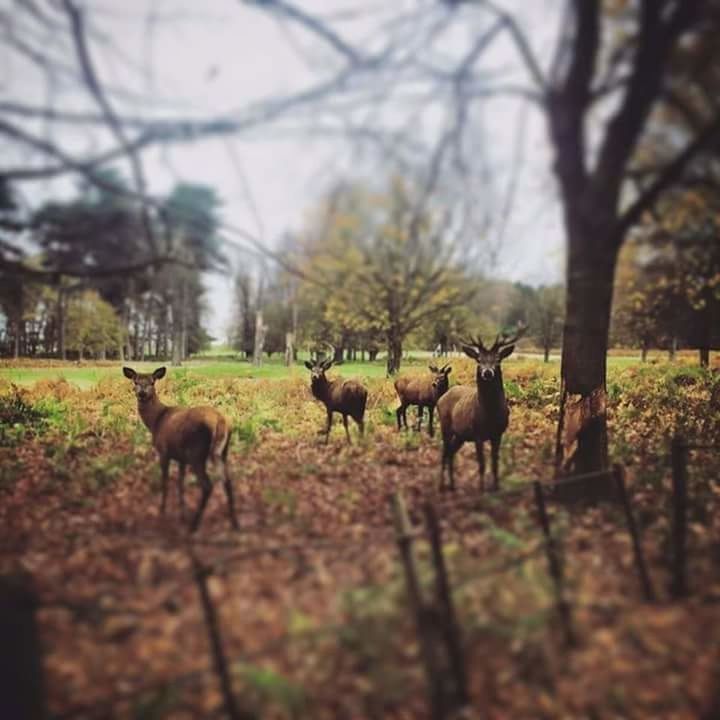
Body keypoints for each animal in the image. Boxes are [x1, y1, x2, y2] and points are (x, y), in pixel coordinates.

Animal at [122, 368, 238, 532]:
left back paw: (194, 526)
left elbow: (165, 482)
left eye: (152, 382)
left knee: (207, 485)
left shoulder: (163, 451)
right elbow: (180, 484)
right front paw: (182, 514)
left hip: (197, 452)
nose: (142, 393)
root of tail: (220, 422)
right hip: (222, 452)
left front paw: (162, 511)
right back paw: (234, 523)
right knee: (227, 481)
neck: (156, 422)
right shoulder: (181, 457)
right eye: (135, 381)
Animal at [436, 328, 524, 492]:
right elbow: (482, 464)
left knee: (451, 453)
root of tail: (442, 397)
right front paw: (482, 489)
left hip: (460, 435)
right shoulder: (477, 433)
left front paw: (496, 487)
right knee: (444, 453)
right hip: (446, 426)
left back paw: (453, 485)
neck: (490, 414)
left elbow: (495, 463)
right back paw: (442, 485)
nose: (487, 372)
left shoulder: (498, 433)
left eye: (498, 359)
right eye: (478, 359)